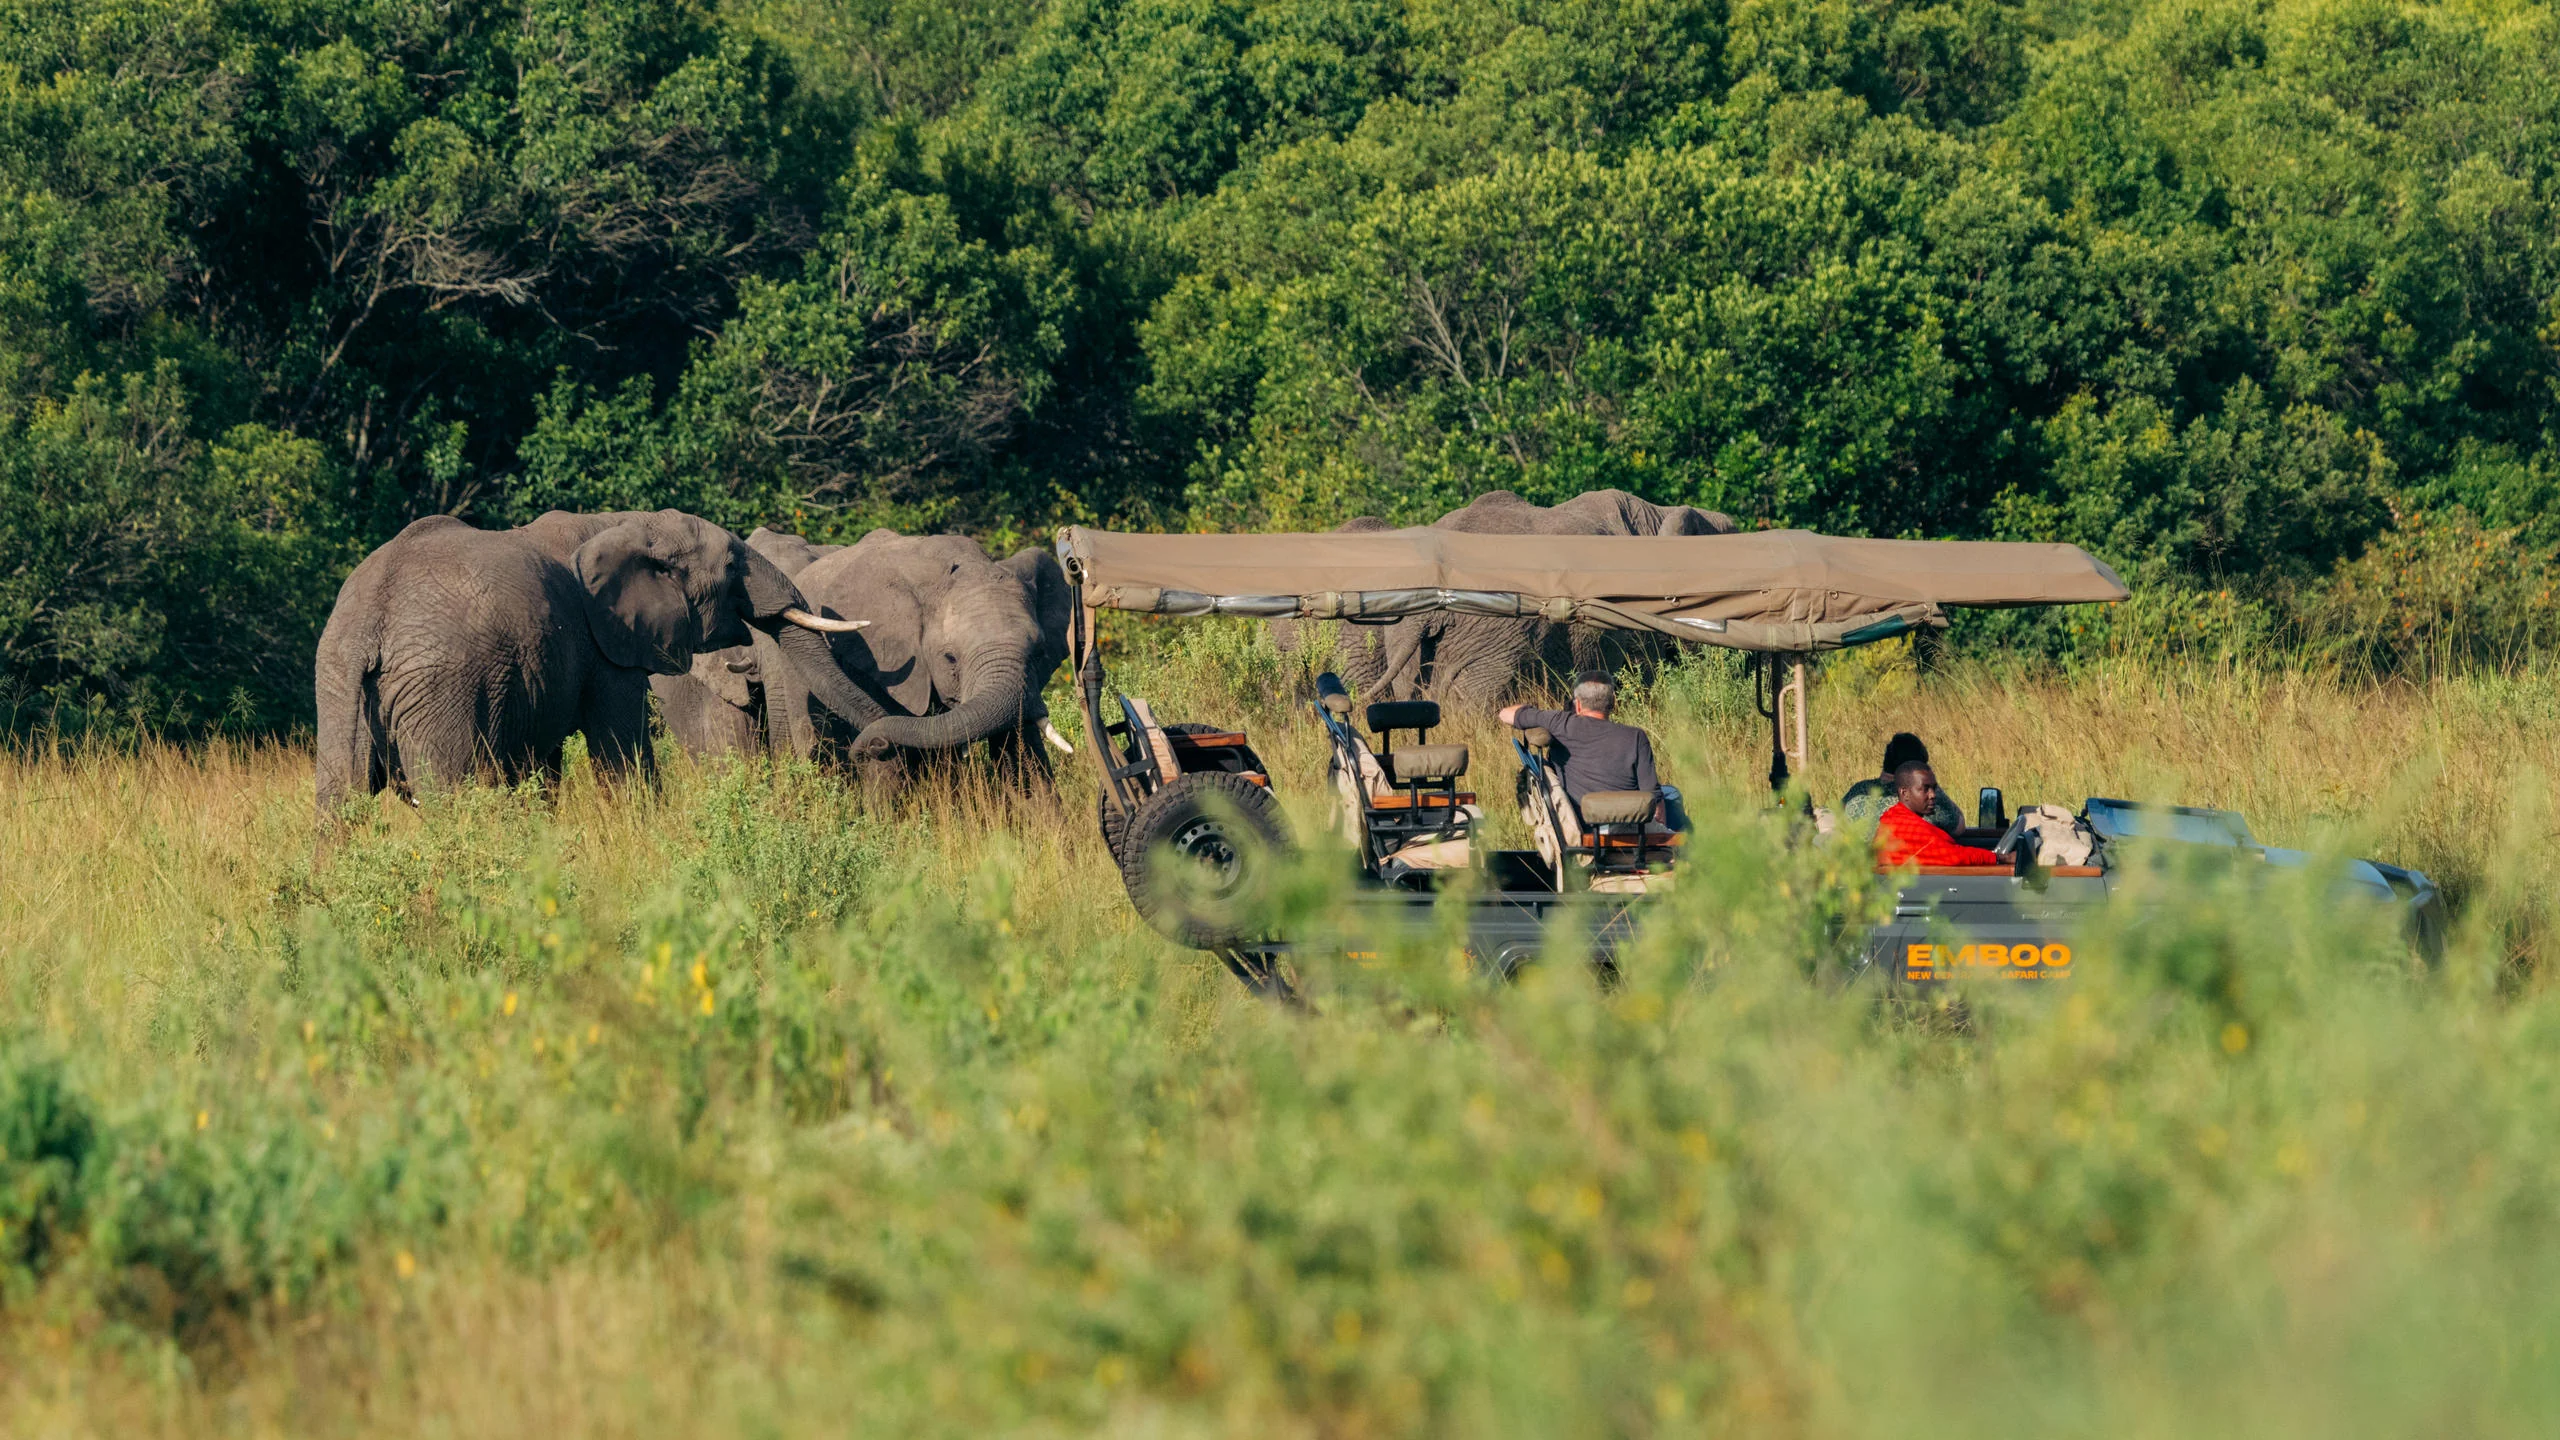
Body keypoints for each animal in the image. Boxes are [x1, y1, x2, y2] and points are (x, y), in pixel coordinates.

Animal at [312, 509, 888, 823]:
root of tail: (368, 620)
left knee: (337, 802)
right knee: (452, 797)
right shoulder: (605, 640)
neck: (627, 523)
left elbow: (541, 769)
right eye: (731, 565)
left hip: (338, 684)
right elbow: (621, 752)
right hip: (441, 687)